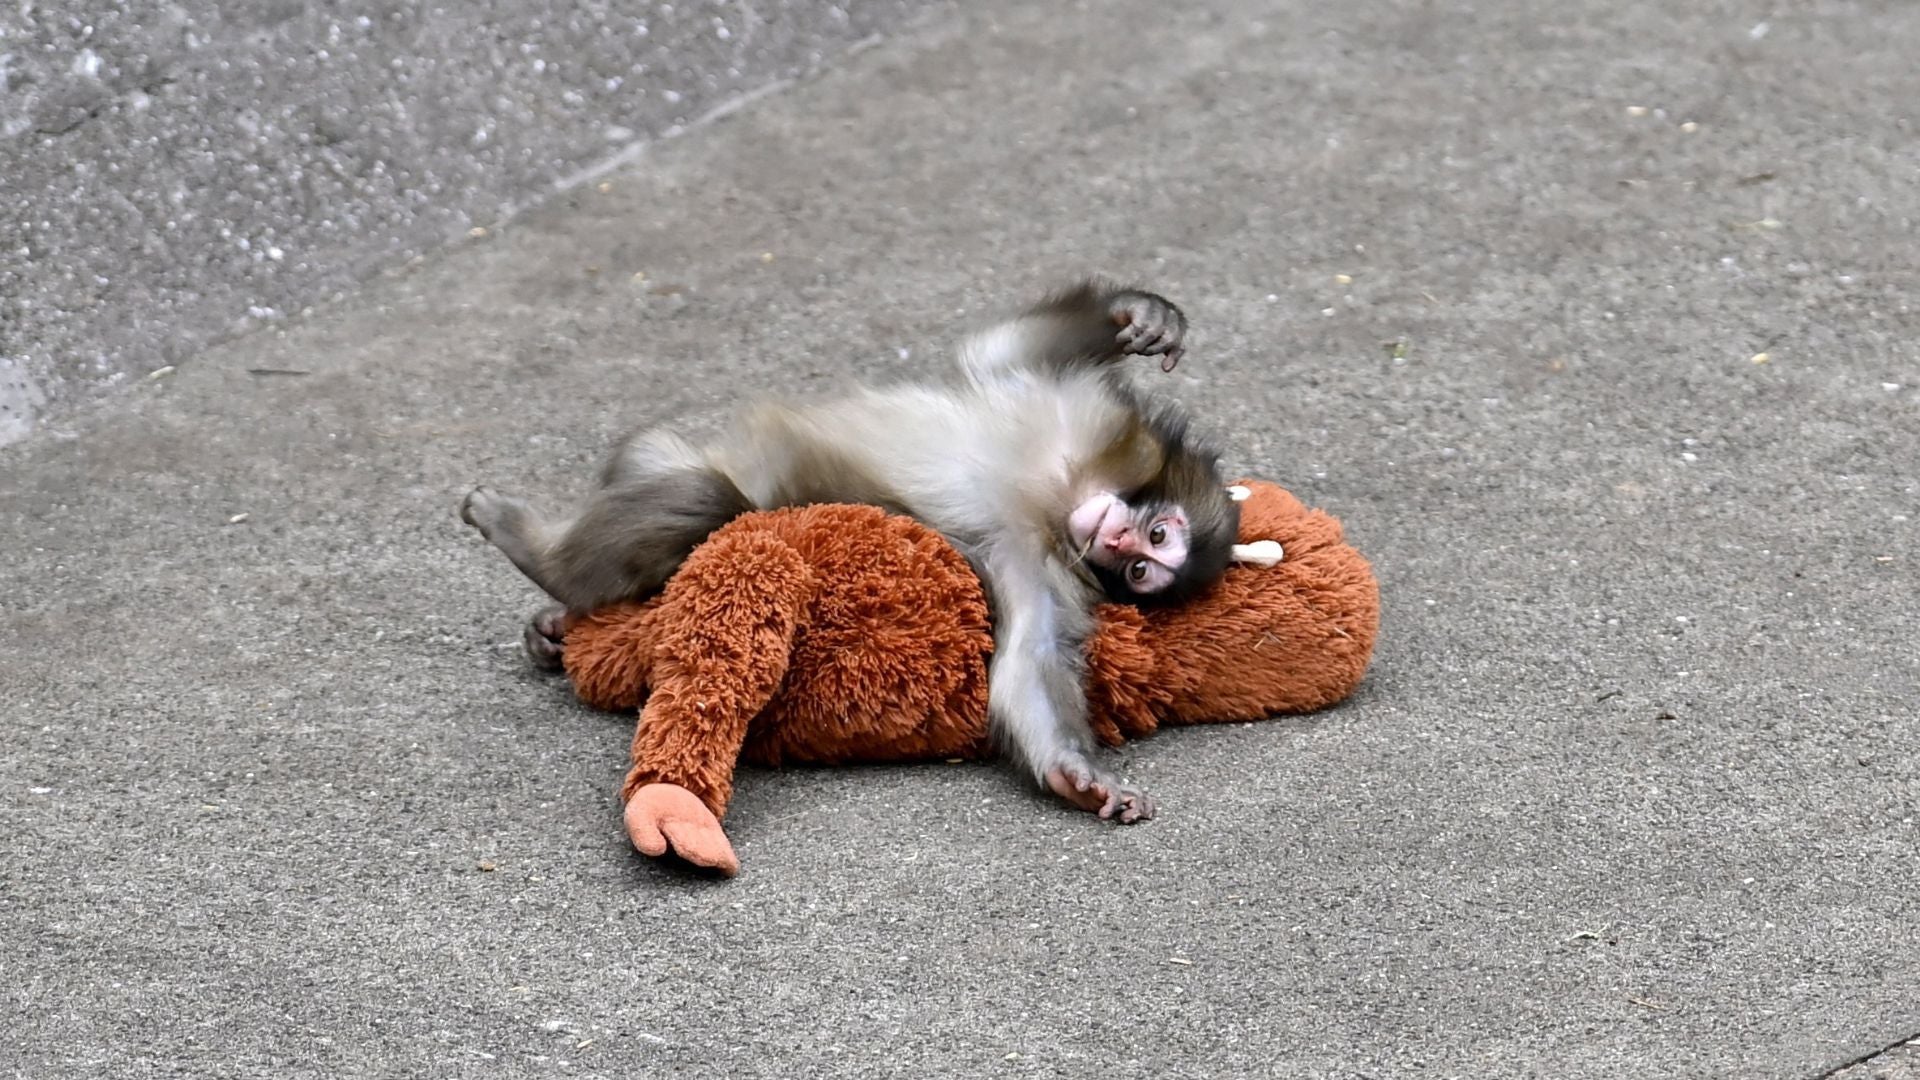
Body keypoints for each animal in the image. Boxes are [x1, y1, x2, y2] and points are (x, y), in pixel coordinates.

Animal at [461, 279, 1240, 823]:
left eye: (1142, 569)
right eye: (1156, 537)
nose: (1116, 539)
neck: (1058, 495)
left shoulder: (1042, 565)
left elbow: (1029, 659)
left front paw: (1075, 778)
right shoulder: (1081, 414)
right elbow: (1000, 349)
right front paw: (1138, 315)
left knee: (708, 502)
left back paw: (551, 591)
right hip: (655, 452)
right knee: (699, 491)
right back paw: (542, 563)